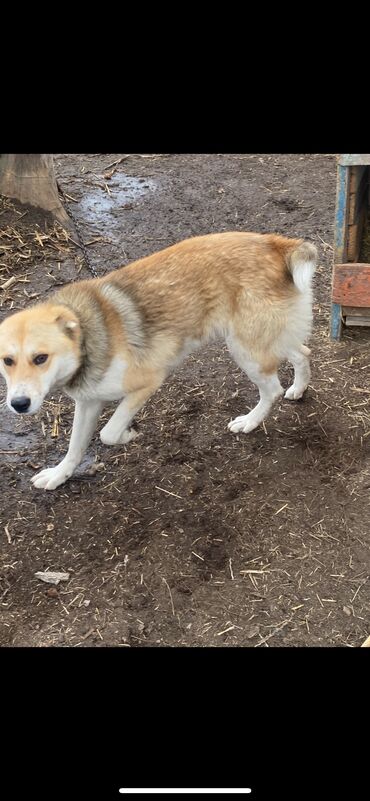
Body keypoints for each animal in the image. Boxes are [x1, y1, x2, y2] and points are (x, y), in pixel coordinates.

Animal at [0, 231, 318, 490]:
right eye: (7, 361)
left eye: (41, 358)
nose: (18, 404)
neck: (87, 336)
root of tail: (276, 244)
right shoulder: (88, 401)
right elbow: (74, 448)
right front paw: (58, 475)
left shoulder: (147, 383)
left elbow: (108, 432)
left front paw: (127, 435)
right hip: (265, 340)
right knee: (302, 354)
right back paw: (298, 389)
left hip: (245, 349)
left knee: (272, 390)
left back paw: (250, 421)